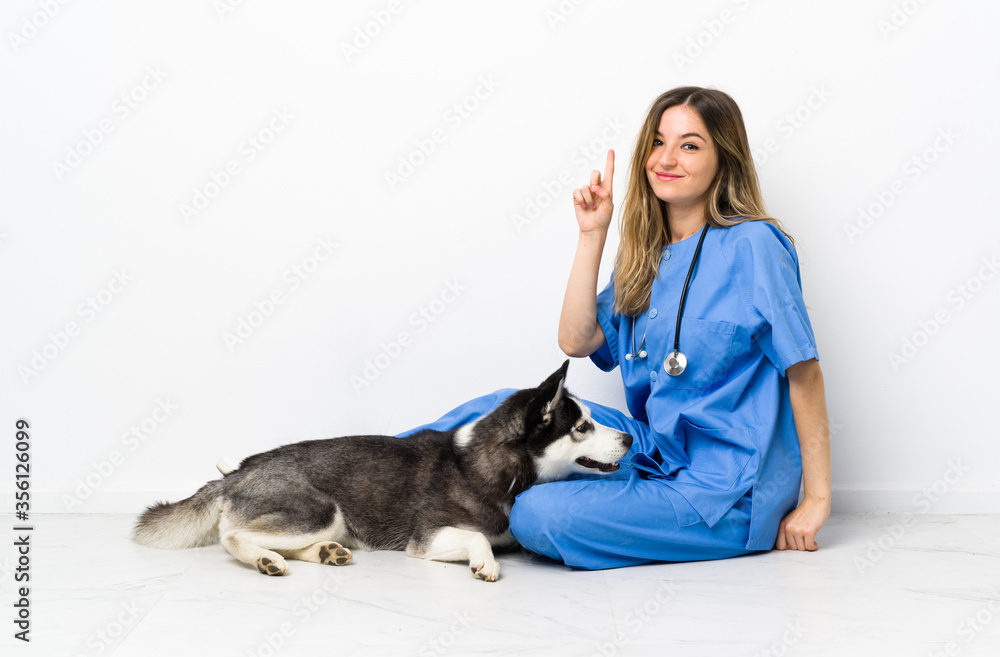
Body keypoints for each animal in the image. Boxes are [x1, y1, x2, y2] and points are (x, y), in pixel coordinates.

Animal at [133, 362, 632, 580]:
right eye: (583, 427)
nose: (630, 439)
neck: (492, 464)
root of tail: (238, 472)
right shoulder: (425, 538)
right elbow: (476, 538)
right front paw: (485, 561)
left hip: (329, 521)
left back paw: (324, 554)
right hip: (320, 510)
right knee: (232, 536)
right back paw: (266, 560)